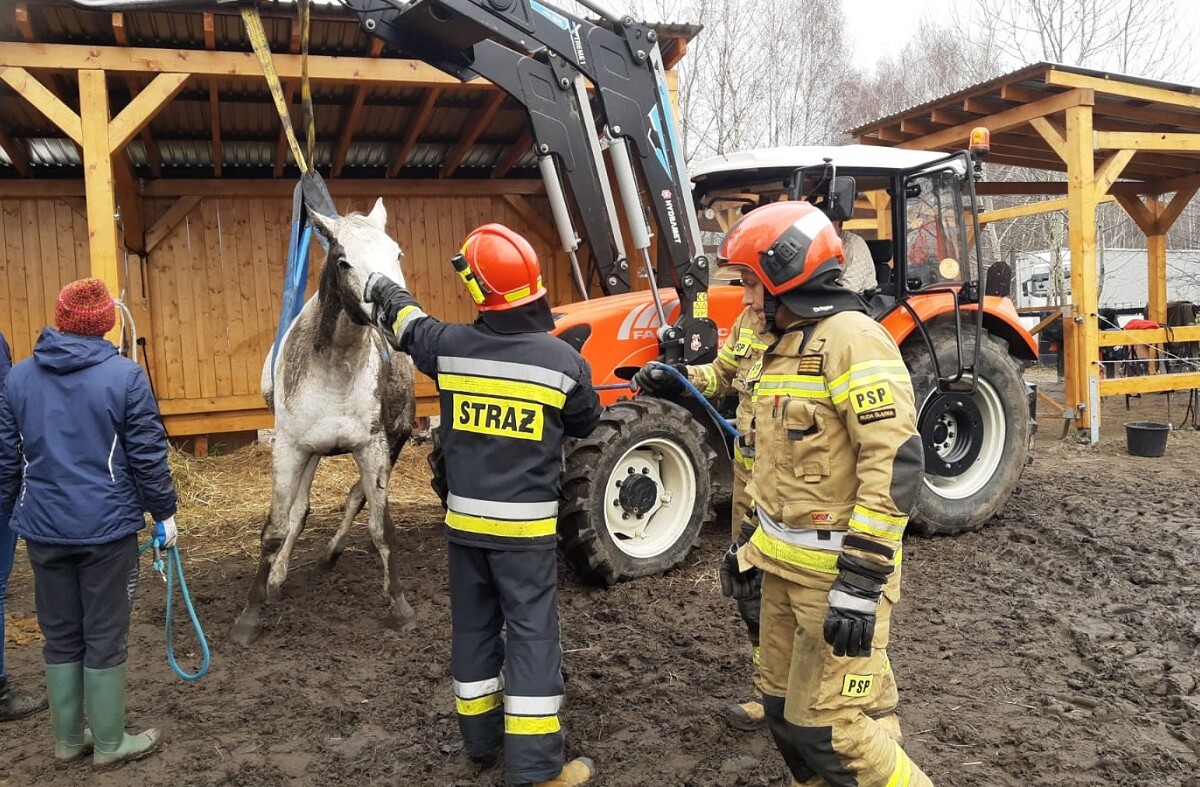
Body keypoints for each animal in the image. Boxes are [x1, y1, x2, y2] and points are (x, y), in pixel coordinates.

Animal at [231, 198, 416, 645]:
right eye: (344, 260)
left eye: (397, 253)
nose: (394, 314)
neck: (333, 371)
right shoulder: (289, 449)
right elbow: (276, 527)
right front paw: (249, 616)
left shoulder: (374, 447)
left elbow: (381, 526)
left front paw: (399, 606)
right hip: (308, 452)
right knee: (298, 512)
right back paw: (278, 578)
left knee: (351, 499)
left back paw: (330, 555)